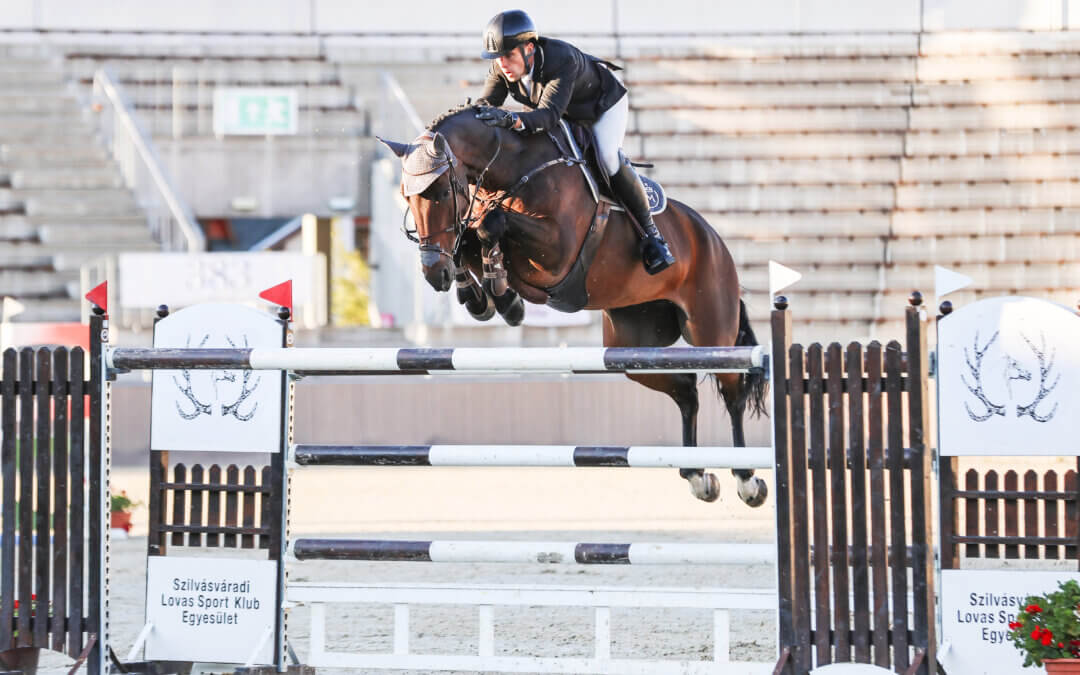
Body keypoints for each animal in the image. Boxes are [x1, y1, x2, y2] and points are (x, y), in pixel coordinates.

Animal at [380, 104, 768, 505]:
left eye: (443, 191)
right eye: (407, 197)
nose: (432, 272)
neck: (513, 168)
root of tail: (714, 239)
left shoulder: (557, 249)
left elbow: (489, 223)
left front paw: (500, 294)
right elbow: (471, 235)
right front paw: (484, 297)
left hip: (710, 329)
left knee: (733, 392)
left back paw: (747, 480)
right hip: (631, 348)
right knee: (686, 389)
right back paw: (697, 476)